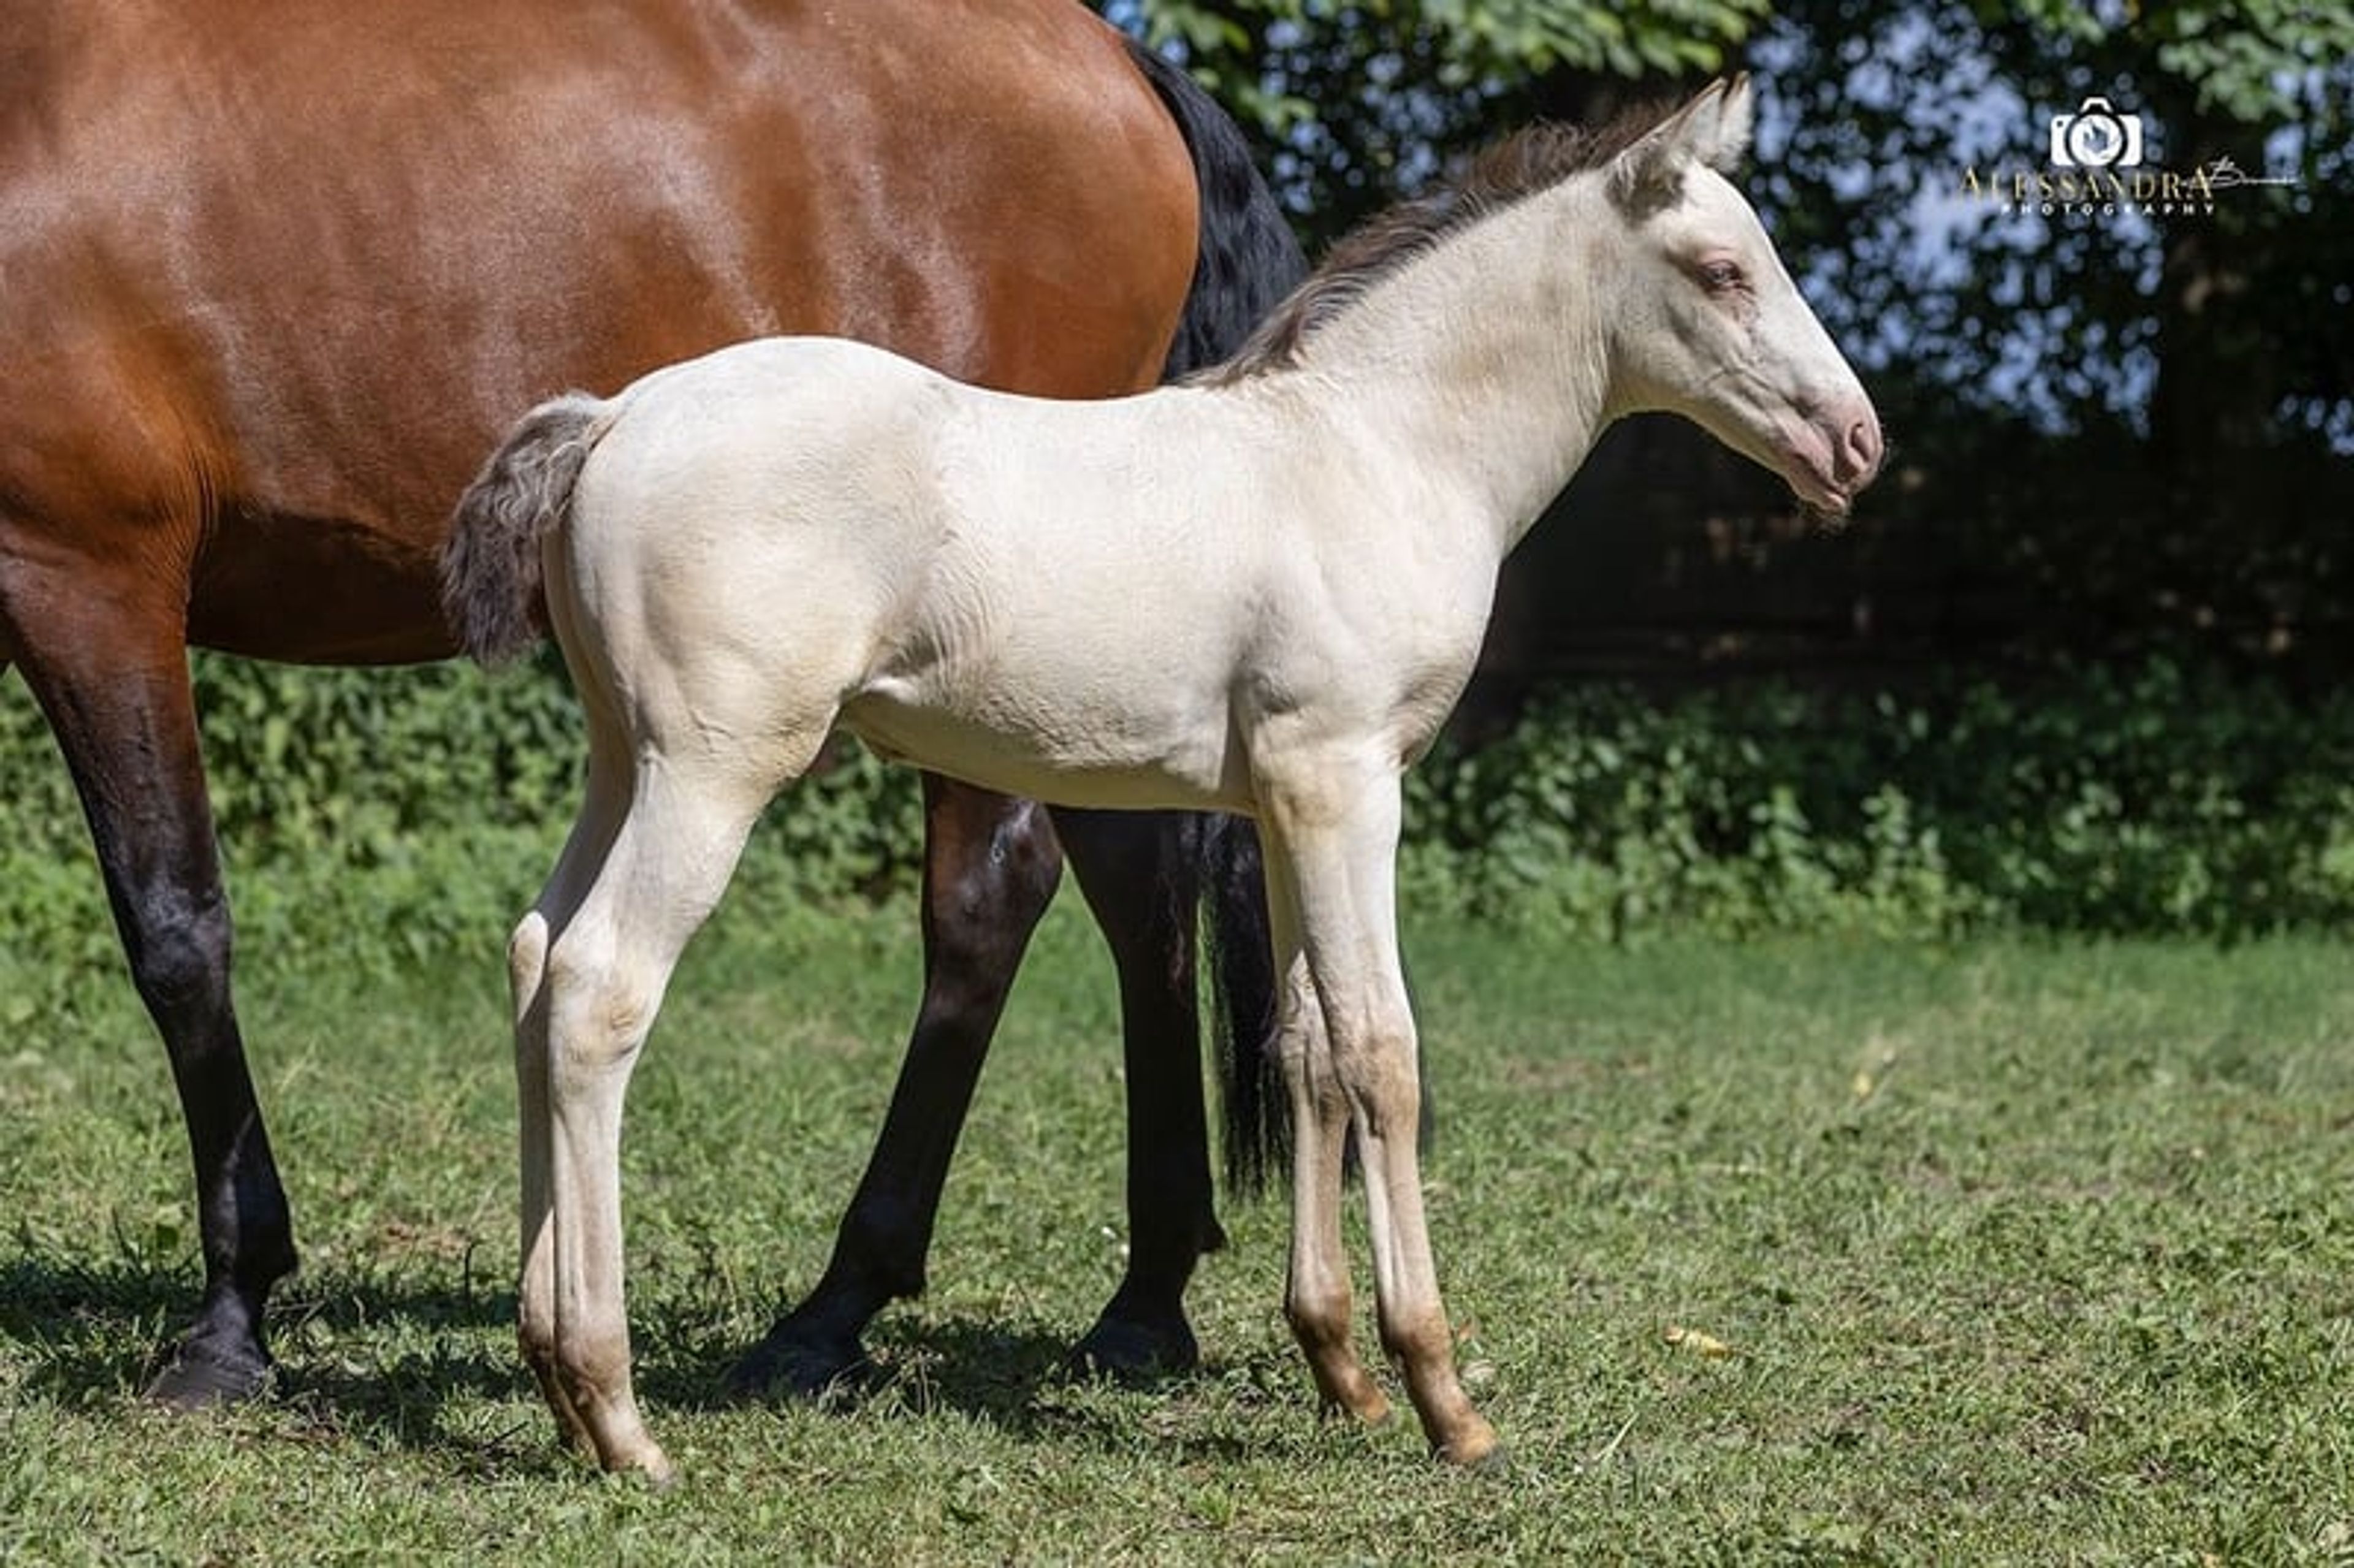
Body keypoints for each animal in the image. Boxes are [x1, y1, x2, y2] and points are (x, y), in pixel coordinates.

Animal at [0, 0, 1301, 1410]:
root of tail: (1115, 62)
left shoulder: (89, 576)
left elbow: (177, 932)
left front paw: (232, 1320)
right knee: (1135, 890)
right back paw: (1142, 1302)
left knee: (988, 900)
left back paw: (839, 1307)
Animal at [443, 76, 1884, 1476]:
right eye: (1721, 271)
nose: (1857, 443)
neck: (1374, 452)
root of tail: (615, 413)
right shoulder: (1348, 781)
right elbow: (1383, 1051)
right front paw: (1442, 1396)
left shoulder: (1286, 797)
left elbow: (1303, 1047)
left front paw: (1341, 1373)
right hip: (714, 766)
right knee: (601, 988)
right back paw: (618, 1413)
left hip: (623, 757)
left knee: (535, 957)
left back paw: (555, 1380)